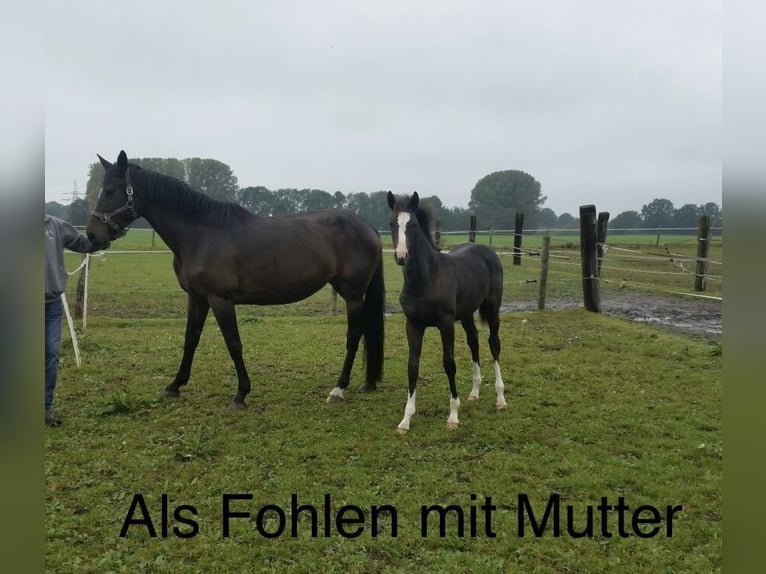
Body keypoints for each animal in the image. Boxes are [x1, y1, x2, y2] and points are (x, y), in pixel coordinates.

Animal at [86, 151, 385, 409]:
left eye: (110, 191)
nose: (92, 235)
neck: (201, 234)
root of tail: (367, 226)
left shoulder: (221, 300)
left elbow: (233, 344)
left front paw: (240, 395)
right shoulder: (197, 299)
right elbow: (190, 339)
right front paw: (174, 386)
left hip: (353, 294)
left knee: (354, 336)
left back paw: (339, 388)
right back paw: (366, 383)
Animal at [386, 191, 507, 432]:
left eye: (413, 224)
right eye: (392, 223)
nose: (401, 256)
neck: (426, 280)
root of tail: (487, 250)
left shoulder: (446, 323)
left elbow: (449, 364)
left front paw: (453, 416)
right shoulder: (413, 324)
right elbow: (412, 366)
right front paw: (406, 420)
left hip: (492, 308)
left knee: (494, 344)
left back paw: (500, 398)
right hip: (467, 314)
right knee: (474, 342)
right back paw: (474, 393)